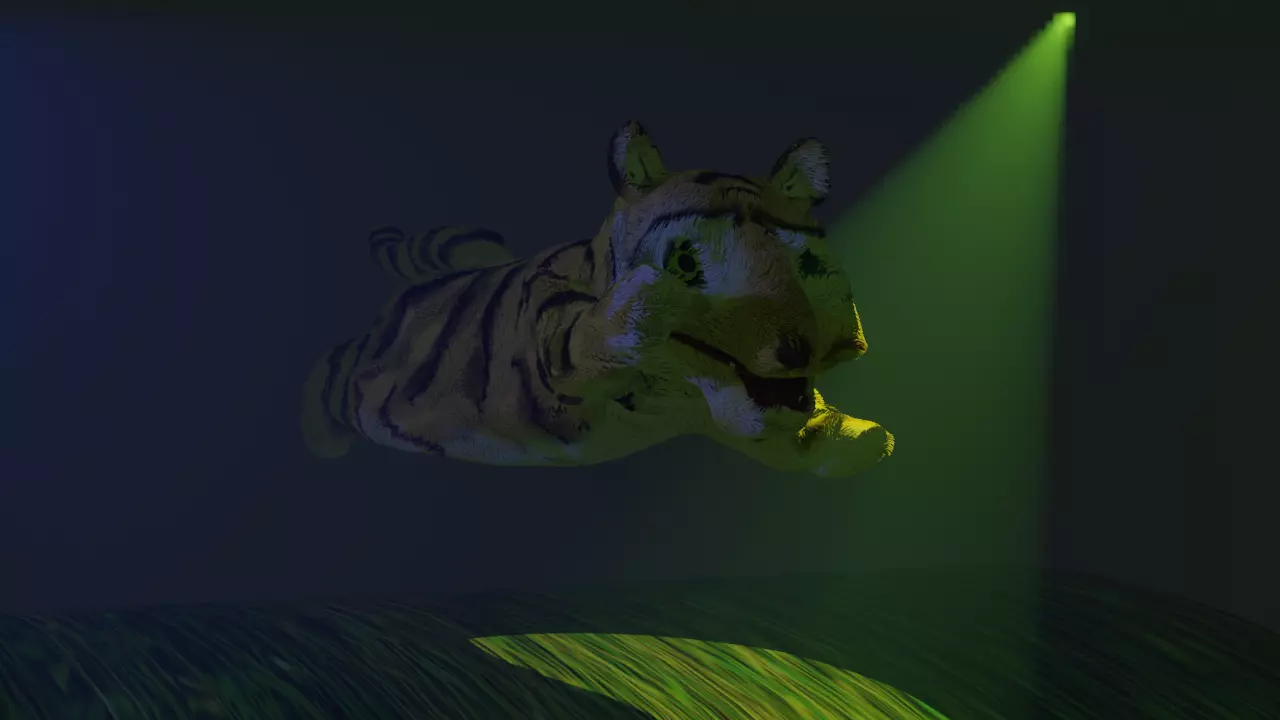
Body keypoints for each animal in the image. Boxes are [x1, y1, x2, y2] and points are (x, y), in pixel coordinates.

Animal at [300, 121, 894, 477]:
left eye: (807, 265)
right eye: (687, 263)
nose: (798, 349)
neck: (676, 395)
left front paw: (865, 437)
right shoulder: (547, 354)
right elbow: (590, 331)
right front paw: (648, 296)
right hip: (345, 381)